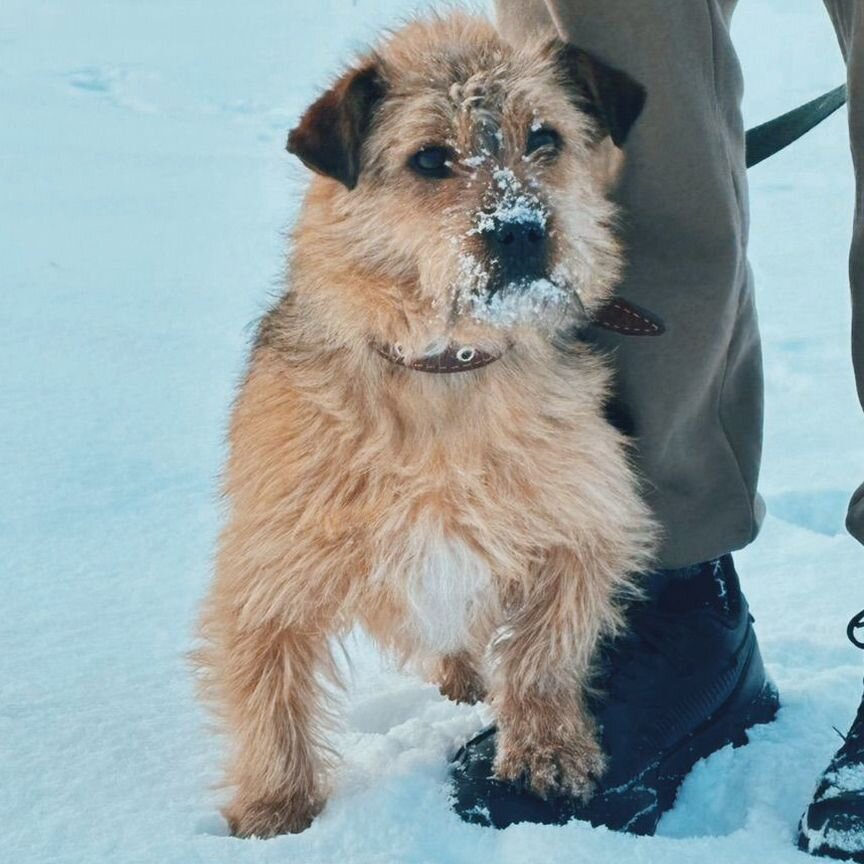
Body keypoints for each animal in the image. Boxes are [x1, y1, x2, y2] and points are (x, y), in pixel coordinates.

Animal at [194, 11, 656, 836]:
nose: (520, 230)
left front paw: (546, 749)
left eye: (544, 137)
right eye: (431, 158)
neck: (446, 371)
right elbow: (270, 694)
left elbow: (545, 647)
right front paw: (277, 811)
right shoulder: (272, 565)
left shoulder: (586, 524)